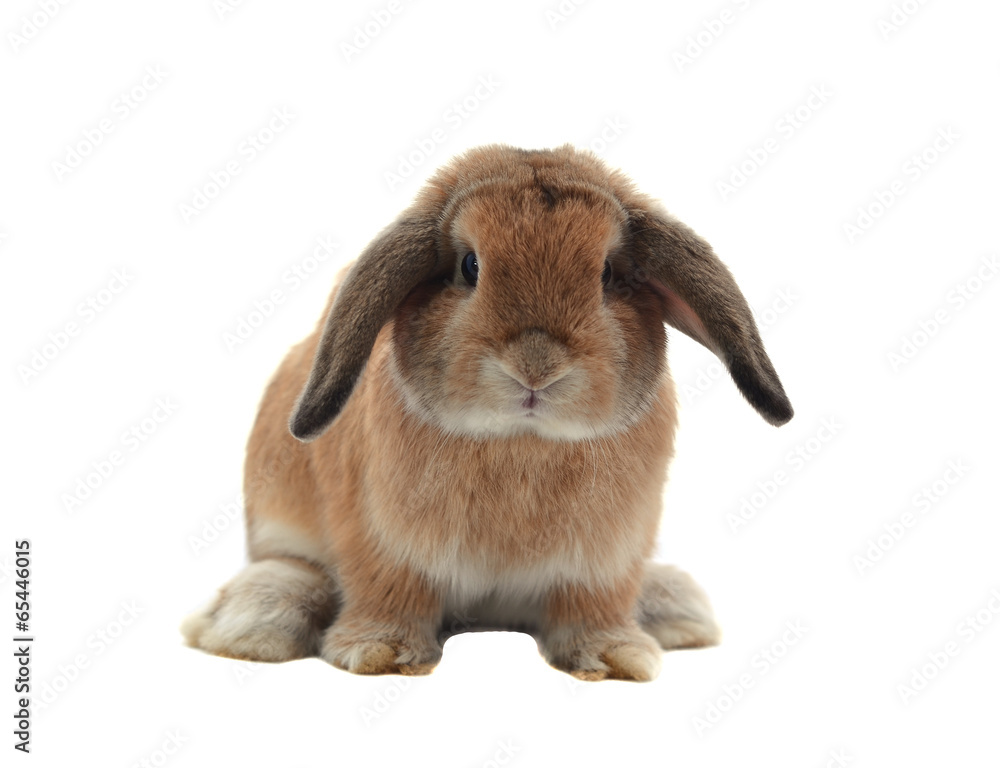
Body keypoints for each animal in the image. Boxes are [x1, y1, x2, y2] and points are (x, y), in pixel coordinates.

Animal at [178, 146, 788, 684]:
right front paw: (383, 653)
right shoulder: (382, 541)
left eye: (608, 275)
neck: (521, 442)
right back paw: (250, 617)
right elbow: (389, 591)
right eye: (470, 267)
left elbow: (593, 607)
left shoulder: (605, 559)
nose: (536, 367)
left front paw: (615, 657)